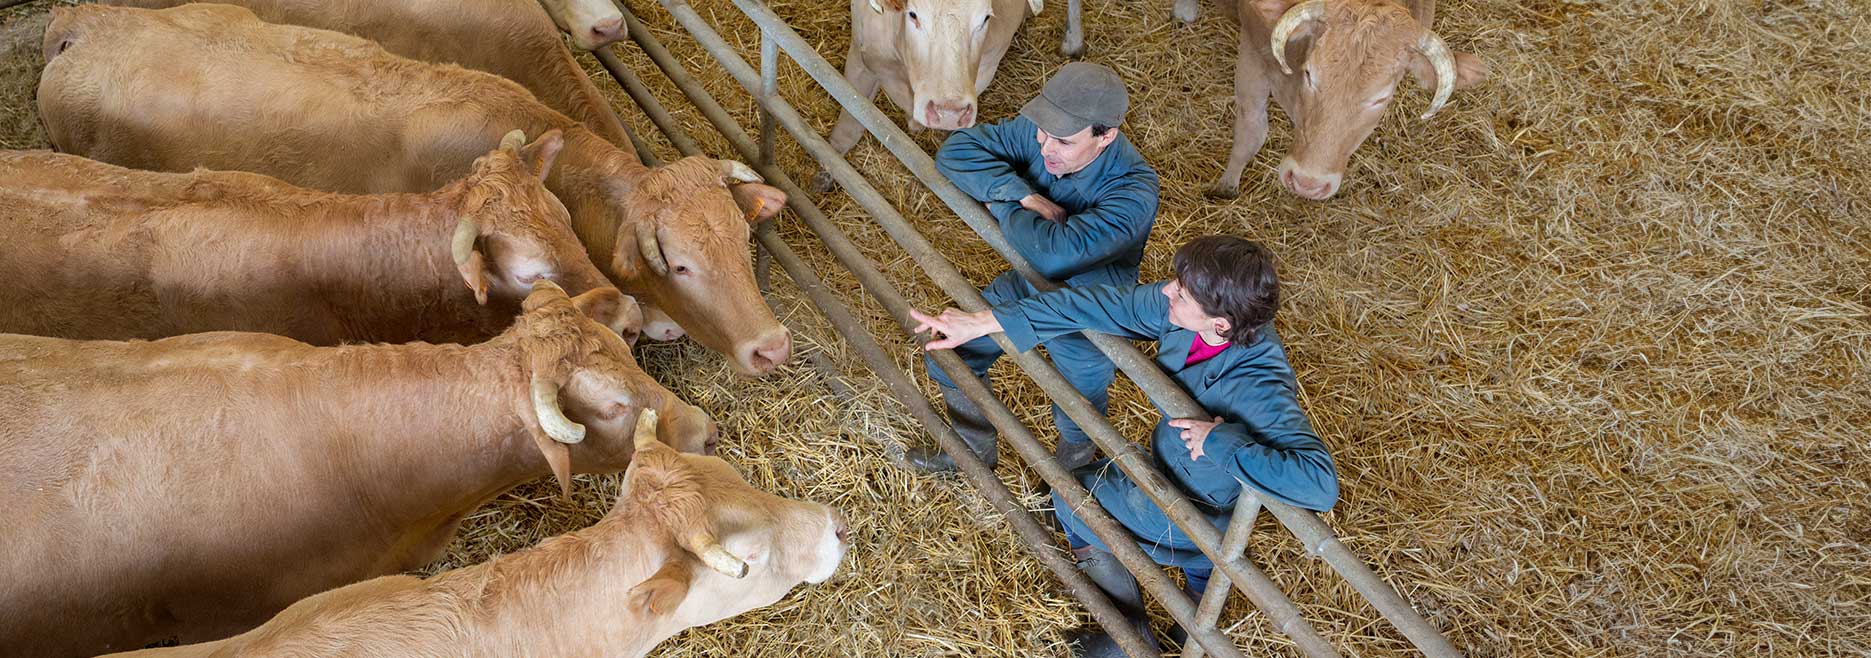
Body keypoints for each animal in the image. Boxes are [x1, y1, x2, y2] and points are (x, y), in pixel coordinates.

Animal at [816, 0, 1041, 191]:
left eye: (985, 18)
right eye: (913, 14)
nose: (949, 113)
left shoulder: (988, 68)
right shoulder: (860, 58)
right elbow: (849, 119)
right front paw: (827, 169)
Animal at [1206, 0, 1488, 200]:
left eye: (1381, 98)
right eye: (1309, 74)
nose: (1308, 184)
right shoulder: (1252, 54)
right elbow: (1250, 131)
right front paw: (1225, 186)